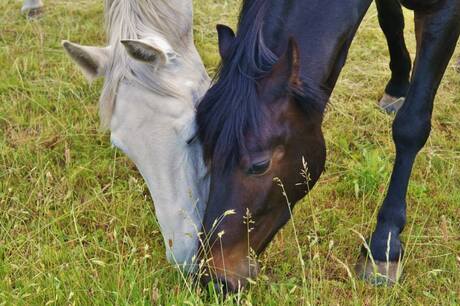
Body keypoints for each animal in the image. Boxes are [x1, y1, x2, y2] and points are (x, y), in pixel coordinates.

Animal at [196, 0, 458, 292]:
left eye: (260, 164)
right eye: (206, 153)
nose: (213, 279)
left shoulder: (444, 13)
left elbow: (410, 126)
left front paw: (384, 243)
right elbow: (390, 21)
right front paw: (398, 84)